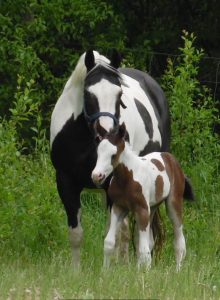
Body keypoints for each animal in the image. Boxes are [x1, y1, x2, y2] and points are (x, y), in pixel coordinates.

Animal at [49, 49, 170, 268]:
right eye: (88, 94)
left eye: (119, 94)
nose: (109, 132)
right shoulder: (65, 182)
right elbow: (76, 234)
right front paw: (76, 271)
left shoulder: (112, 186)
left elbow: (115, 236)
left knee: (141, 235)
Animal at [91, 123, 194, 270]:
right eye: (98, 152)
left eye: (113, 154)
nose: (96, 176)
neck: (127, 179)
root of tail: (169, 157)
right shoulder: (118, 207)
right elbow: (109, 242)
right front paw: (105, 271)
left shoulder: (141, 210)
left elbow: (143, 249)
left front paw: (143, 274)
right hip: (152, 207)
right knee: (149, 242)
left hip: (173, 202)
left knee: (179, 239)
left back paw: (178, 270)